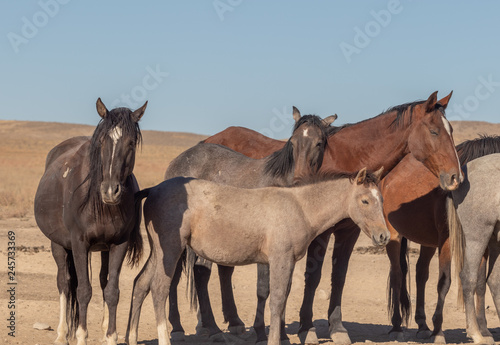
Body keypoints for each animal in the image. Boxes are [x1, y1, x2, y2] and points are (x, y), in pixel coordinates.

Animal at [33, 99, 145, 344]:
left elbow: (111, 291)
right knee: (64, 283)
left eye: (131, 143)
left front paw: (111, 336)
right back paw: (62, 334)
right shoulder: (79, 243)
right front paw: (81, 335)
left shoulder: (119, 244)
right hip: (59, 245)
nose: (110, 191)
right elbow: (83, 290)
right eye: (102, 142)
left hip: (103, 248)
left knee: (103, 280)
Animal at [126, 168, 390, 344]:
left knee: (140, 283)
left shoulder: (287, 263)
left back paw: (131, 337)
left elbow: (282, 300)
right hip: (170, 251)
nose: (384, 236)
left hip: (157, 252)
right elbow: (276, 301)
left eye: (381, 199)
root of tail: (154, 189)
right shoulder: (280, 260)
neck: (300, 207)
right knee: (159, 288)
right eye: (365, 200)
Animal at [201, 90, 462, 342]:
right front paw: (307, 327)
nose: (455, 177)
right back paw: (211, 327)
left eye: (451, 131)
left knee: (224, 270)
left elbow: (339, 277)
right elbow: (313, 277)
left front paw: (336, 327)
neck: (345, 160)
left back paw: (233, 322)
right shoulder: (321, 234)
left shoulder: (349, 232)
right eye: (434, 131)